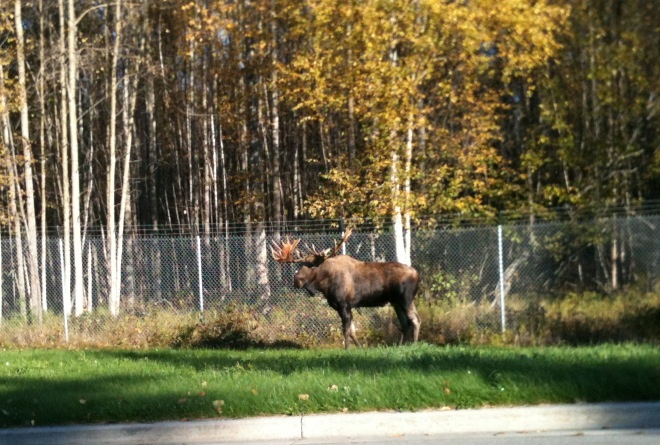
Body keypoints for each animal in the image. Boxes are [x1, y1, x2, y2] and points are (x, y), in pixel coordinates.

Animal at [271, 229, 421, 349]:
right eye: (300, 264)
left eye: (312, 266)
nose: (296, 280)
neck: (324, 285)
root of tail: (417, 274)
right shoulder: (344, 306)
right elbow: (353, 331)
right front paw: (359, 348)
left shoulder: (344, 304)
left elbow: (346, 330)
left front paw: (347, 348)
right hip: (396, 302)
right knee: (404, 323)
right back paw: (401, 345)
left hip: (406, 299)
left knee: (415, 320)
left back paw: (414, 344)